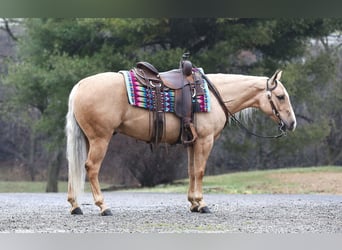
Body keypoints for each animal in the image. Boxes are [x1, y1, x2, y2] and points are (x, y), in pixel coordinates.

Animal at [66, 69, 296, 215]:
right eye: (281, 96)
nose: (292, 123)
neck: (214, 95)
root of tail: (79, 86)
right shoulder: (205, 140)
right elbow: (200, 171)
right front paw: (202, 204)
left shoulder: (192, 143)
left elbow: (191, 171)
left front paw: (193, 203)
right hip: (100, 138)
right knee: (91, 168)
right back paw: (103, 207)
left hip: (88, 139)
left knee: (74, 167)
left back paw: (75, 206)